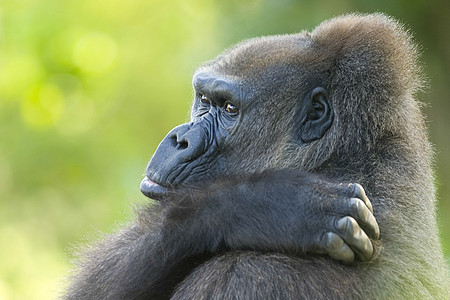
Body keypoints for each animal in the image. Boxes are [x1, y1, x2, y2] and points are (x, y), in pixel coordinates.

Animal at [65, 12, 450, 298]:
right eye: (203, 100)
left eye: (229, 109)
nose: (180, 140)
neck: (345, 158)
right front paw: (262, 203)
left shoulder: (243, 276)